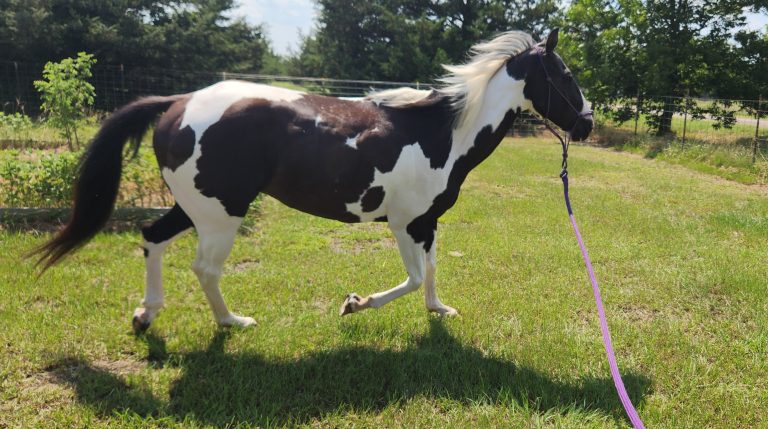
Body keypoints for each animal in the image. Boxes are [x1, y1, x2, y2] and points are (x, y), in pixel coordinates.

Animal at [32, 29, 593, 331]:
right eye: (565, 76)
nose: (586, 123)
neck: (441, 134)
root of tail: (178, 102)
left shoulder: (427, 223)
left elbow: (431, 273)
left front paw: (439, 310)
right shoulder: (405, 224)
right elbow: (413, 277)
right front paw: (355, 304)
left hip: (196, 207)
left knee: (151, 237)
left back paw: (146, 316)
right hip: (221, 216)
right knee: (205, 269)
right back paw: (231, 323)